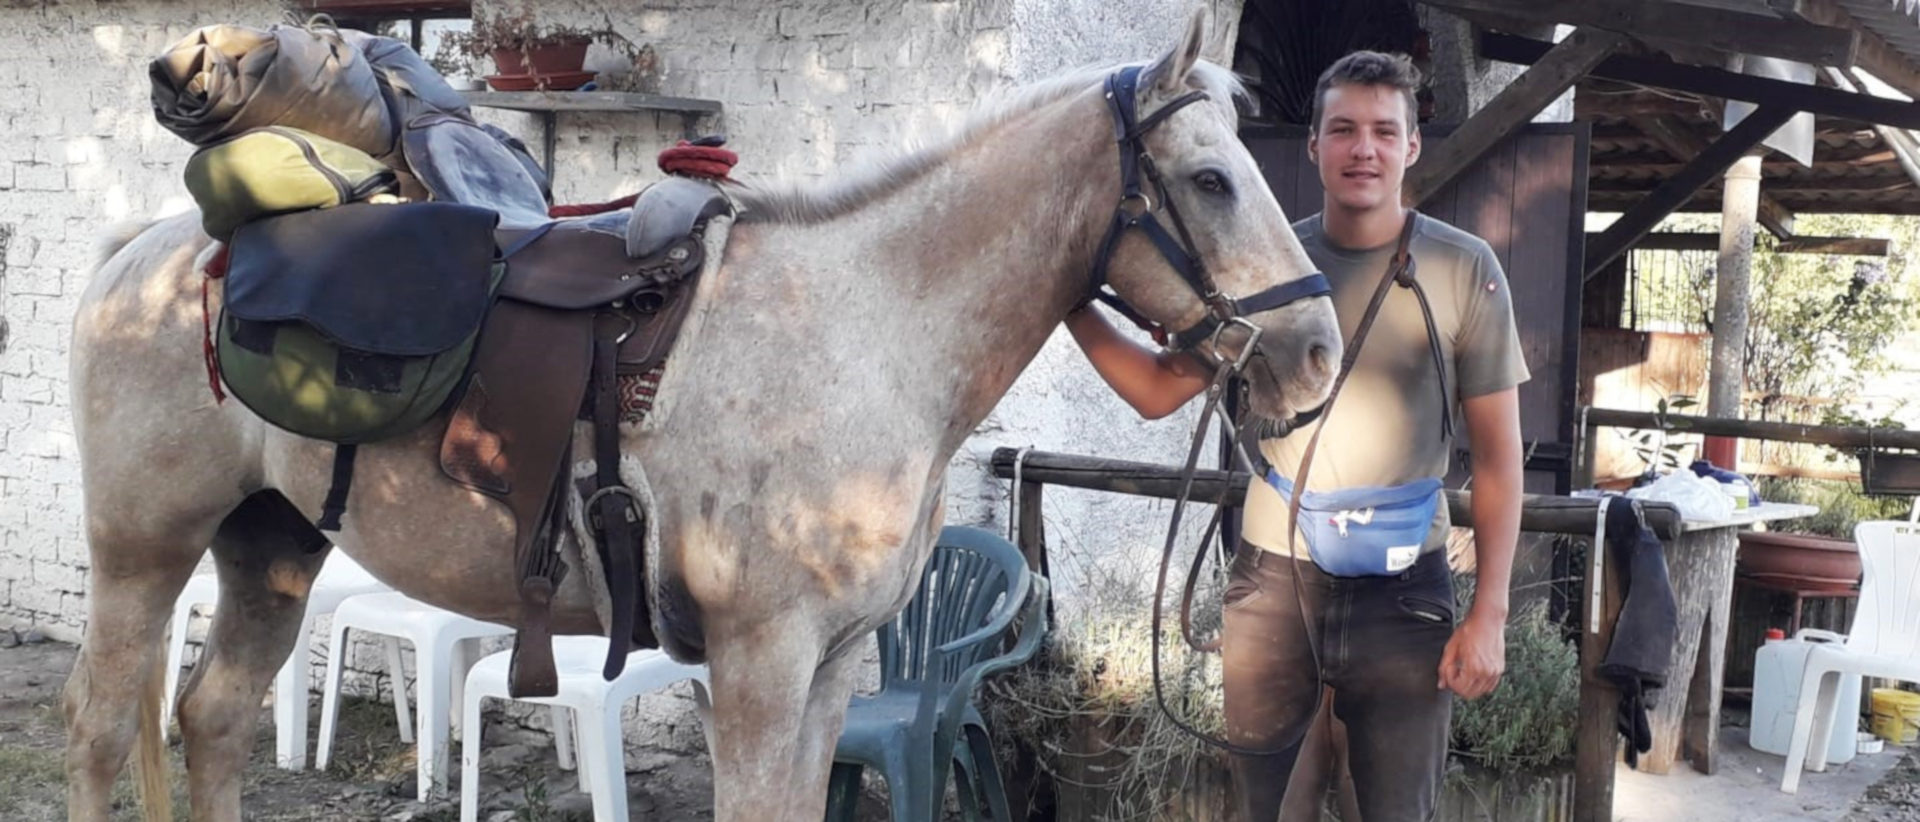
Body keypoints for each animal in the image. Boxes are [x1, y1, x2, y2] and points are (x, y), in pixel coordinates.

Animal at [71, 14, 1336, 822]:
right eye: (1212, 180)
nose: (1317, 351)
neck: (864, 333)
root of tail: (136, 251)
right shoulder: (761, 663)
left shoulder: (832, 670)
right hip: (143, 550)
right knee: (101, 728)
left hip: (270, 544)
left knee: (213, 721)